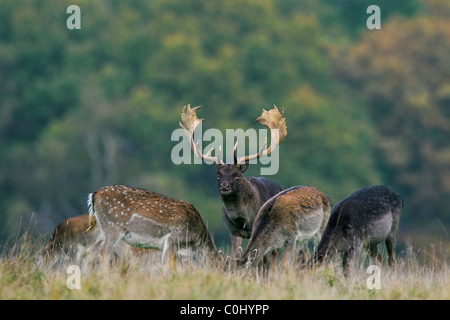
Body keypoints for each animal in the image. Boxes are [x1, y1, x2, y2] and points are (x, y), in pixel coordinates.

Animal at [85, 185, 218, 262]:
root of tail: (94, 195)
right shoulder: (172, 239)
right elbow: (166, 266)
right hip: (113, 227)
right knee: (104, 252)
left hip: (102, 229)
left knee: (91, 250)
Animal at [178, 105, 284, 258]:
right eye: (218, 175)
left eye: (237, 175)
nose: (224, 186)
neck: (244, 219)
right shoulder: (233, 231)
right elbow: (236, 255)